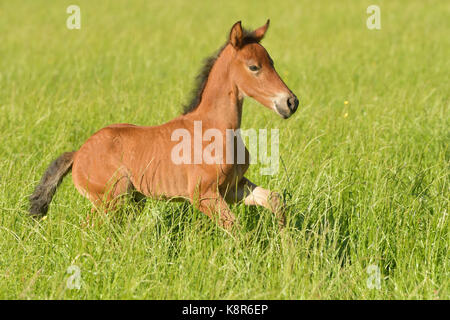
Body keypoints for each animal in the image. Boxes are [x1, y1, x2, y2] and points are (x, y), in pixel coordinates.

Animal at [29, 20, 298, 230]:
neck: (216, 128)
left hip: (131, 200)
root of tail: (78, 153)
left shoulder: (232, 188)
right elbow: (235, 227)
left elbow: (275, 200)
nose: (290, 102)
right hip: (110, 200)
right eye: (254, 67)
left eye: (272, 62)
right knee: (89, 228)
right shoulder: (204, 195)